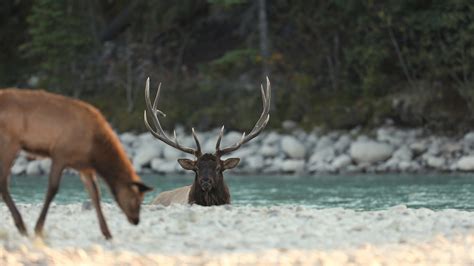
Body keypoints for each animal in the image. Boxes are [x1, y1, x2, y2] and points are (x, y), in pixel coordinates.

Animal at [0, 89, 152, 239]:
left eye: (142, 198)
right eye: (135, 198)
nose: (136, 220)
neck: (94, 152)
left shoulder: (85, 168)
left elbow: (95, 195)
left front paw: (107, 233)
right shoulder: (59, 155)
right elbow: (52, 189)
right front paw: (38, 228)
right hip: (10, 142)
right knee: (3, 181)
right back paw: (21, 226)